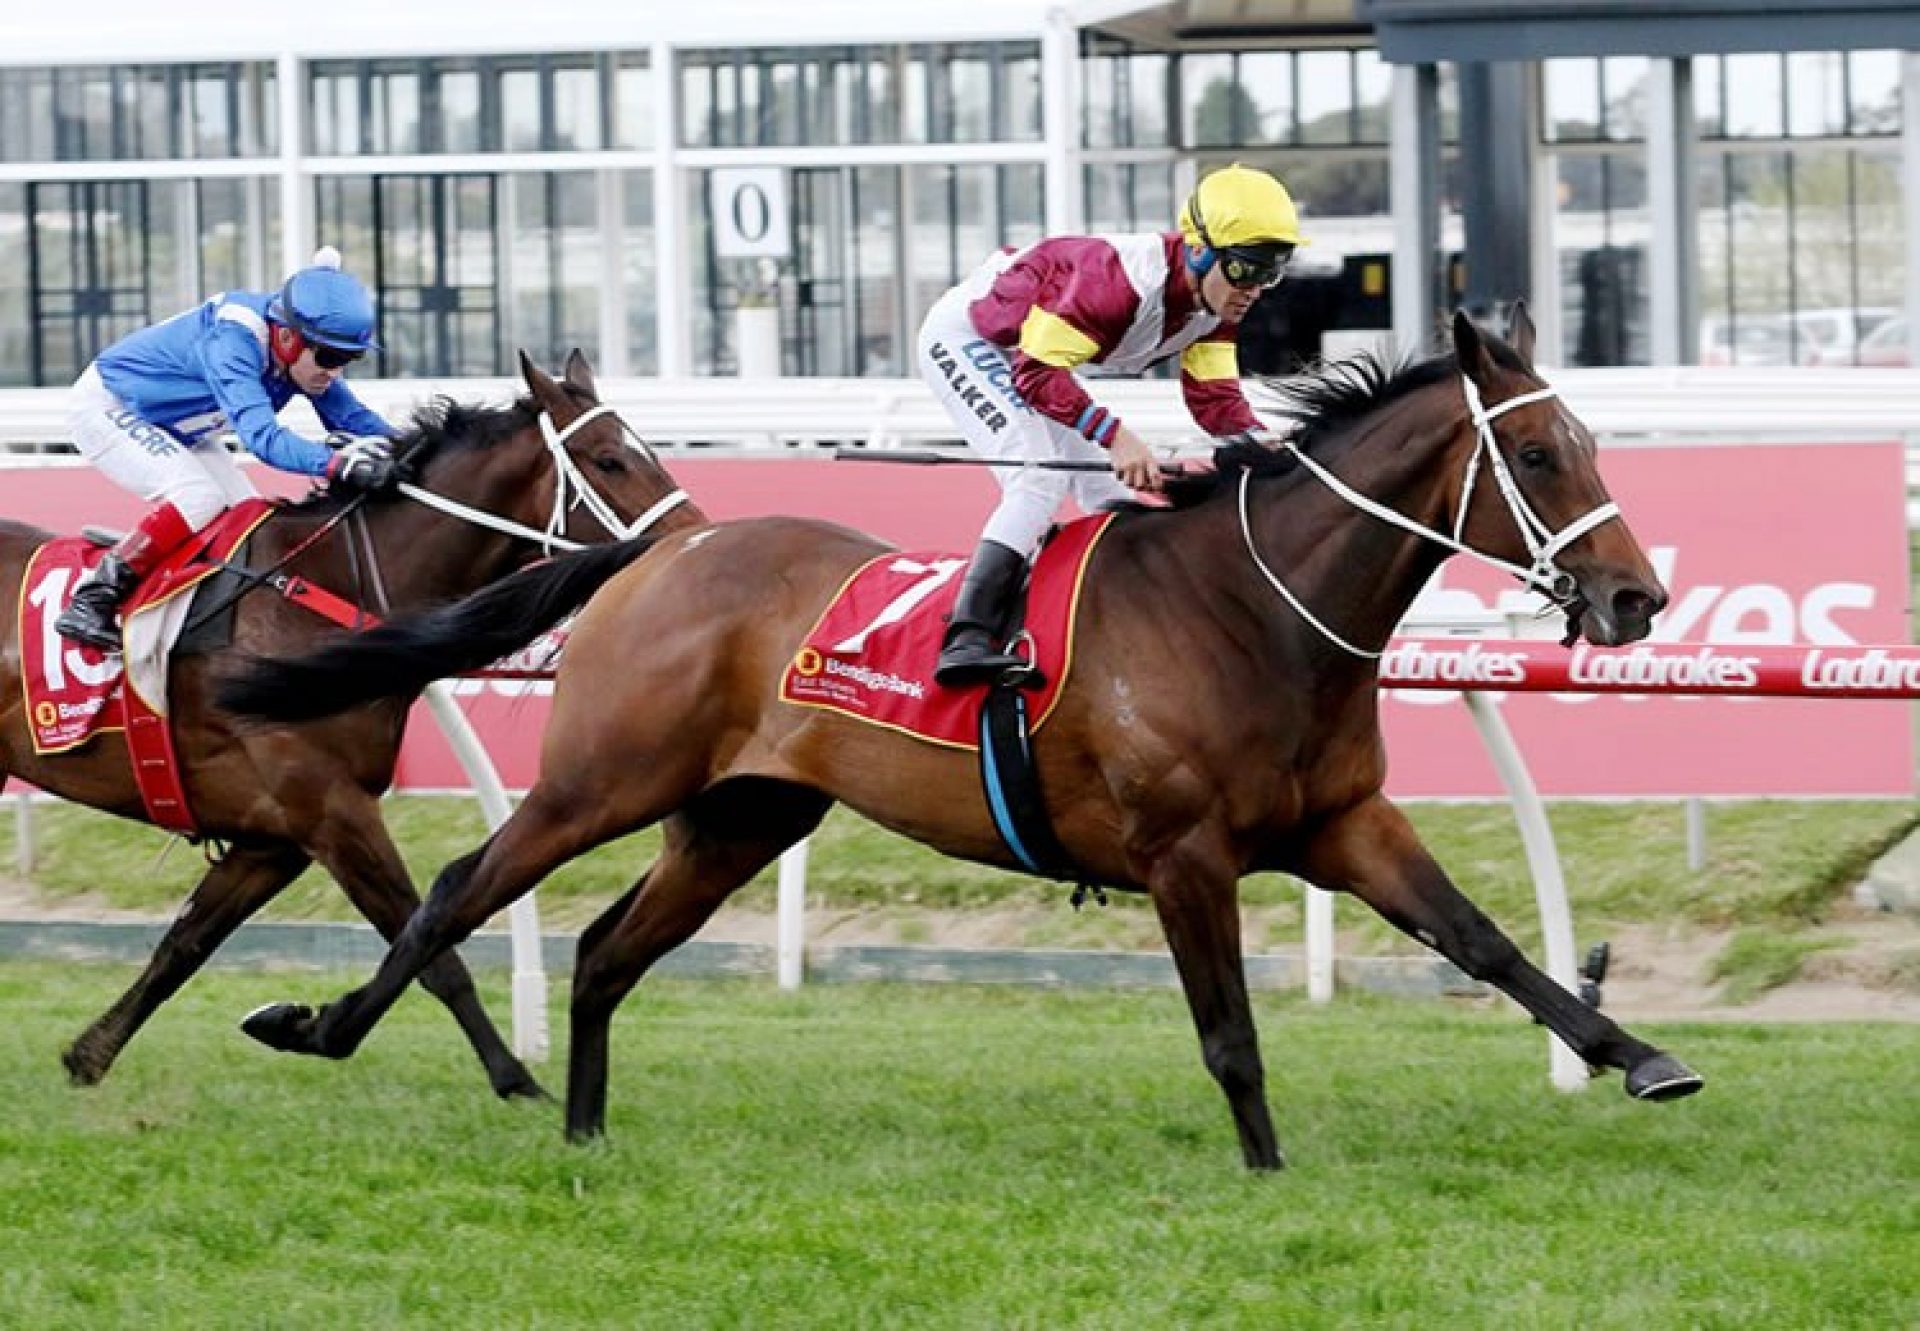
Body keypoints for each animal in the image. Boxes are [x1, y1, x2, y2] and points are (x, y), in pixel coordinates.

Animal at [1, 347, 706, 1098]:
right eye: (608, 459)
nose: (691, 539)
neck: (323, 593)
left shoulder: (275, 836)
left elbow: (182, 946)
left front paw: (89, 1054)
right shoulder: (332, 810)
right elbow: (435, 952)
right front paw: (515, 1079)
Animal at [217, 309, 1704, 1160]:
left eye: (1590, 441)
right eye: (1545, 455)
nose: (1637, 596)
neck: (1249, 606)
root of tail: (662, 548)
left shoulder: (1346, 825)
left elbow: (1491, 943)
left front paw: (1642, 1057)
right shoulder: (1185, 853)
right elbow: (1229, 1029)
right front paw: (1269, 1167)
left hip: (741, 815)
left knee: (600, 948)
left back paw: (586, 1131)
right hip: (600, 779)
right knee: (459, 890)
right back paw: (325, 1028)